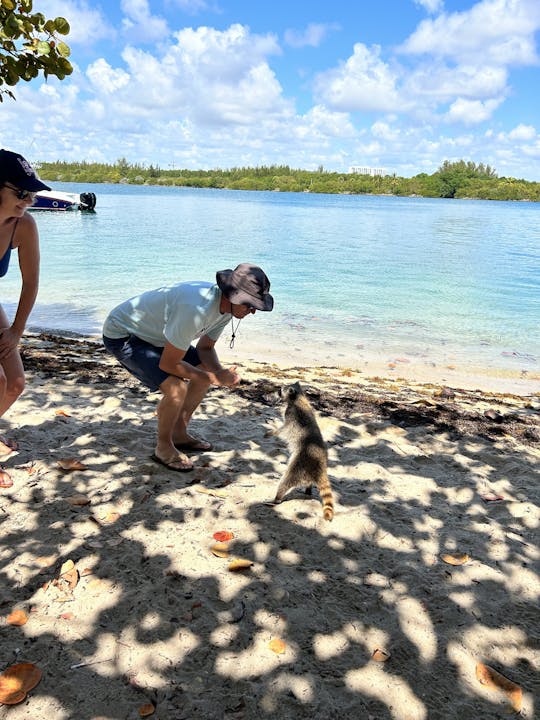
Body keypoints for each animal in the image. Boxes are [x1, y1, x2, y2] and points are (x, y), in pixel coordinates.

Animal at [266, 380, 334, 520]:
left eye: (280, 390)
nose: (275, 391)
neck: (298, 397)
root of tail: (320, 466)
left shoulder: (291, 415)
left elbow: (283, 429)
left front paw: (272, 431)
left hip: (299, 465)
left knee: (285, 481)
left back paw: (277, 498)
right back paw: (308, 489)